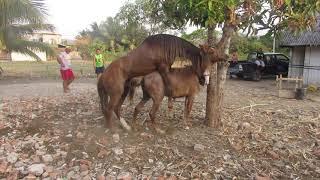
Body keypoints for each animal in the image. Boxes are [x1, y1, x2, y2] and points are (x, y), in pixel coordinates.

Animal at [97, 33, 225, 129]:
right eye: (212, 51)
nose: (226, 56)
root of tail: (103, 76)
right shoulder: (164, 69)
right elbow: (173, 92)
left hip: (124, 90)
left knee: (116, 108)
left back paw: (127, 127)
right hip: (116, 93)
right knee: (109, 109)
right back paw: (113, 130)